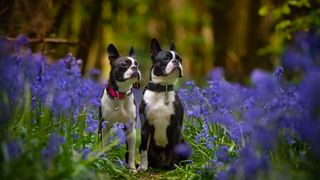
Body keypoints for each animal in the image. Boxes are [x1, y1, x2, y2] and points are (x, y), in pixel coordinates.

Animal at [99, 43, 141, 172]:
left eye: (138, 64)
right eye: (124, 64)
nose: (135, 68)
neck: (120, 95)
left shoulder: (131, 129)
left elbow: (131, 152)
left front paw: (132, 169)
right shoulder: (105, 127)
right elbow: (104, 146)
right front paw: (104, 162)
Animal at [139, 38, 189, 170]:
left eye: (180, 59)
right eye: (166, 58)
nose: (176, 61)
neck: (162, 89)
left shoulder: (176, 126)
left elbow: (175, 148)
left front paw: (175, 167)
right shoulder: (145, 127)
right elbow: (144, 151)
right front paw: (143, 167)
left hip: (184, 142)